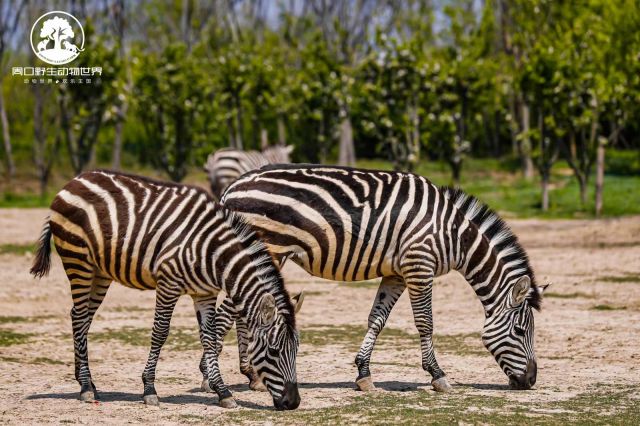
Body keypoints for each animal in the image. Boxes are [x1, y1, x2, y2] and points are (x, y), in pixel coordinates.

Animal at [27, 169, 302, 410]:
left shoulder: (205, 293)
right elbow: (160, 332)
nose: (293, 403)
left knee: (80, 317)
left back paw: (87, 382)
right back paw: (85, 387)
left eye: (296, 350)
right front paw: (149, 389)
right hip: (78, 262)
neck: (213, 253)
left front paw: (222, 392)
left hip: (99, 272)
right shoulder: (168, 284)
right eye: (274, 351)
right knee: (80, 317)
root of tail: (74, 181)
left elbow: (209, 337)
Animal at [216, 164, 552, 392]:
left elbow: (377, 319)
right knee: (228, 313)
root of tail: (232, 187)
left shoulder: (396, 274)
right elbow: (425, 322)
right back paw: (218, 382)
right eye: (521, 331)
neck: (454, 234)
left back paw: (253, 376)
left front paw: (364, 374)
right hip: (268, 251)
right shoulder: (419, 265)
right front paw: (437, 375)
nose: (531, 380)